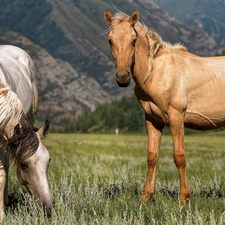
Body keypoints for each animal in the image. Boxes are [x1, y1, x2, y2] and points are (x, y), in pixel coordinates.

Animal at [104, 9, 225, 204]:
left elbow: (179, 156)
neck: (157, 73)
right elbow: (152, 156)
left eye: (133, 40)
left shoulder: (176, 118)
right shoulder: (153, 120)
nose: (123, 77)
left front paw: (184, 198)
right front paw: (147, 196)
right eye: (110, 40)